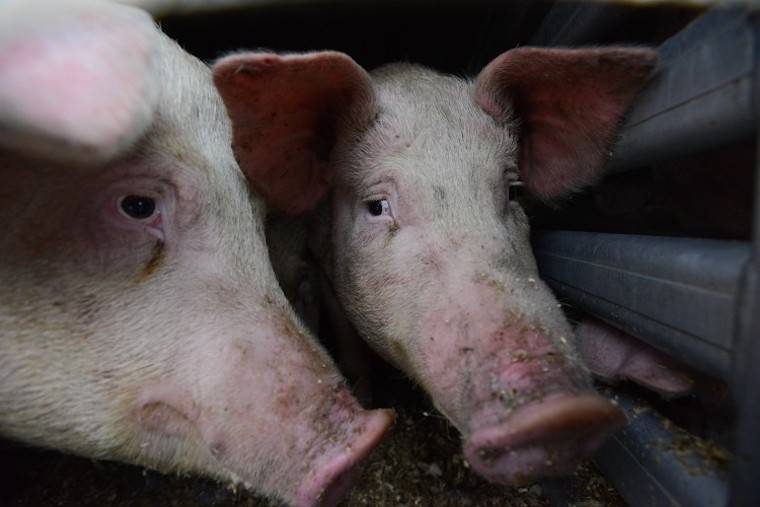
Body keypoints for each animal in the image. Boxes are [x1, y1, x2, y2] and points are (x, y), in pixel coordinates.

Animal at [213, 47, 656, 486]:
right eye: (377, 206)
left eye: (513, 191)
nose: (562, 415)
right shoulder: (324, 266)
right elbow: (350, 341)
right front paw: (366, 396)